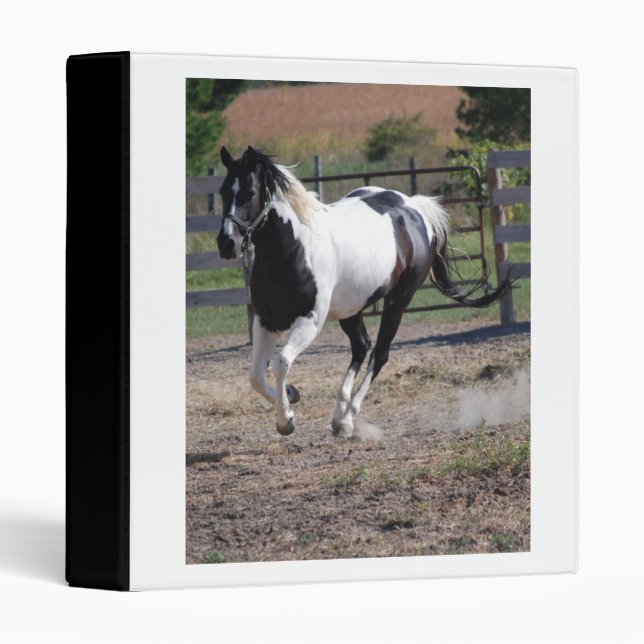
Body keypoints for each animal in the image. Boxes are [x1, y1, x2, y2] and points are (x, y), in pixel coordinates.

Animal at [216, 146, 513, 438]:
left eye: (250, 192)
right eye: (222, 191)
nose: (226, 243)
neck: (292, 249)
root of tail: (414, 207)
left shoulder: (309, 320)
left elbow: (280, 362)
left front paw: (286, 420)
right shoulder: (265, 320)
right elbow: (255, 376)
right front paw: (292, 395)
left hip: (397, 301)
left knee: (379, 353)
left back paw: (348, 419)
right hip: (352, 307)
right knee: (361, 346)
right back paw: (339, 416)